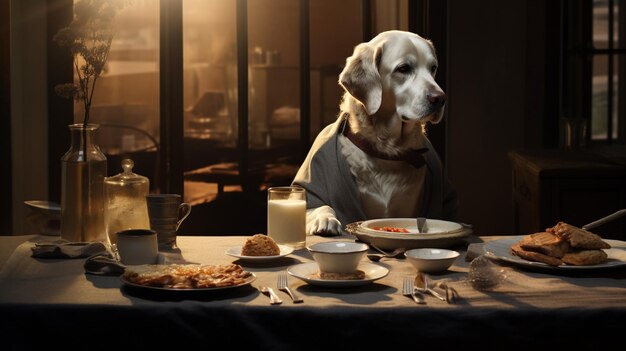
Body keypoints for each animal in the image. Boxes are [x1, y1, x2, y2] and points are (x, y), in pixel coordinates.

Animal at [290, 30, 456, 236]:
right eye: (403, 68)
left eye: (433, 68)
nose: (440, 98)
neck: (386, 151)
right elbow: (320, 206)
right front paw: (326, 219)